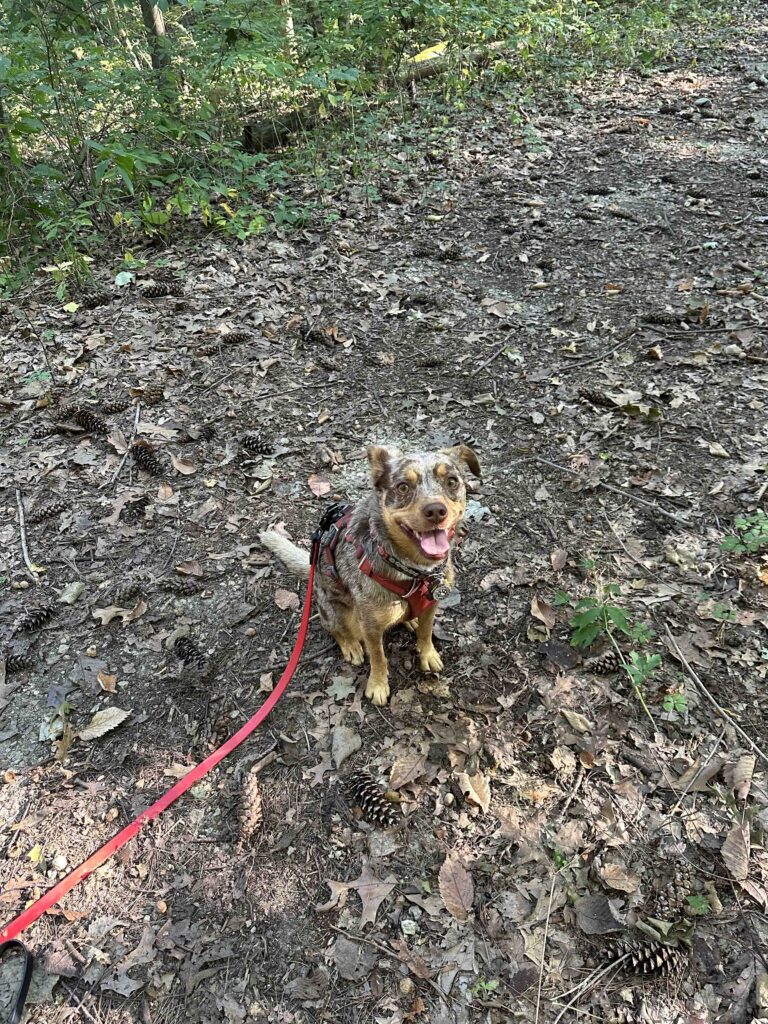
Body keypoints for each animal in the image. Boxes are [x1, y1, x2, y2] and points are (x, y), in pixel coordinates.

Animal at [259, 444, 481, 708]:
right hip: (337, 611)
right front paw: (377, 685)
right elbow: (378, 657)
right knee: (335, 629)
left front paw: (427, 654)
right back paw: (351, 645)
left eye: (451, 481)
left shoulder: (431, 605)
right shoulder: (371, 626)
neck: (414, 571)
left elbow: (426, 633)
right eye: (403, 487)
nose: (436, 510)